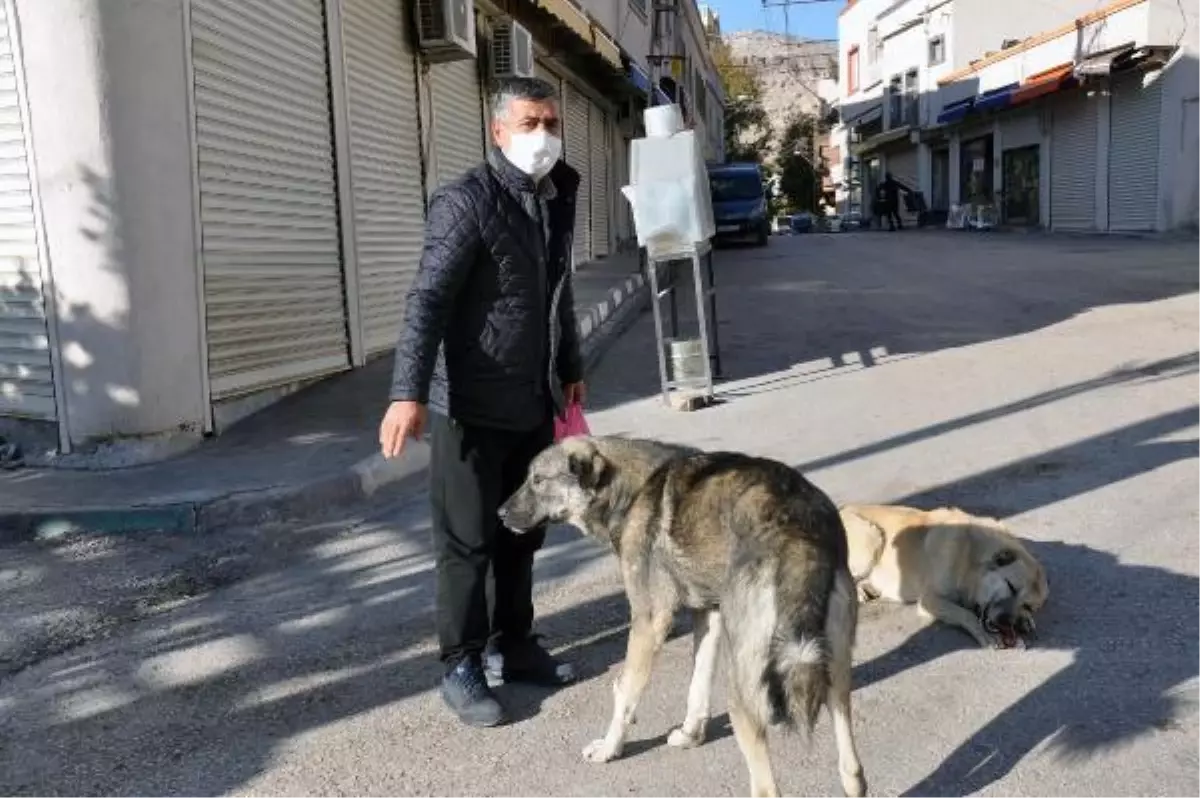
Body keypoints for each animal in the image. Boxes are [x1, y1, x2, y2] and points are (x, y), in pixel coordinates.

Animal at [492, 436, 868, 796]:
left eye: (538, 480)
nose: (499, 514)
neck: (629, 489)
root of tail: (799, 536)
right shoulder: (709, 614)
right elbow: (697, 683)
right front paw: (690, 734)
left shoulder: (649, 621)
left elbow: (625, 692)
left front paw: (609, 748)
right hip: (834, 677)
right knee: (853, 772)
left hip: (744, 691)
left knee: (766, 788)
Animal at [835, 504, 1051, 648]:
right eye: (1010, 586)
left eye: (1028, 605)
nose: (1006, 622)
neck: (969, 558)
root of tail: (842, 508)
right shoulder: (929, 600)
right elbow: (965, 614)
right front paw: (984, 633)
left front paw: (1024, 619)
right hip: (872, 539)